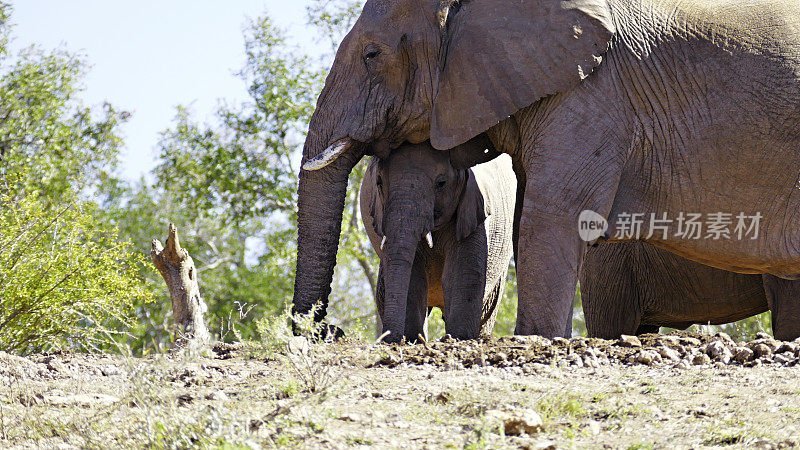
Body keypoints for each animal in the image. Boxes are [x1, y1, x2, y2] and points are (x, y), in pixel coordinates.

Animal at [360, 141, 516, 342]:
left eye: (441, 183)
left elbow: (462, 272)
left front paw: (458, 338)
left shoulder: (474, 206)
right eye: (378, 182)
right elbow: (414, 277)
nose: (391, 338)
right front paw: (413, 339)